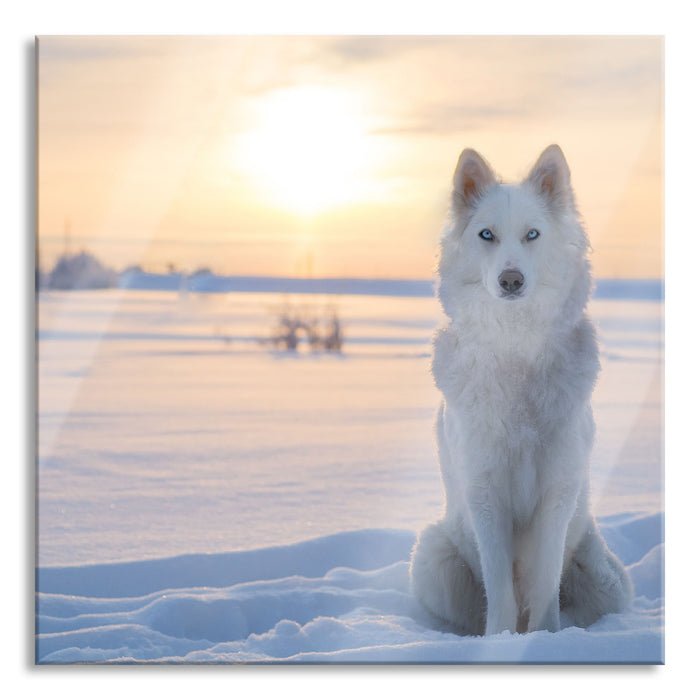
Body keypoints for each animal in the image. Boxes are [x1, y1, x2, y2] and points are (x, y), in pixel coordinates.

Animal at [410, 145, 636, 636]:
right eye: (486, 235)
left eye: (532, 234)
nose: (510, 280)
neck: (516, 350)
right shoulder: (485, 494)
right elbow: (500, 590)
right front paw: (500, 641)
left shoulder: (557, 492)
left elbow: (544, 582)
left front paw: (545, 639)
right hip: (434, 560)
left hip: (606, 579)